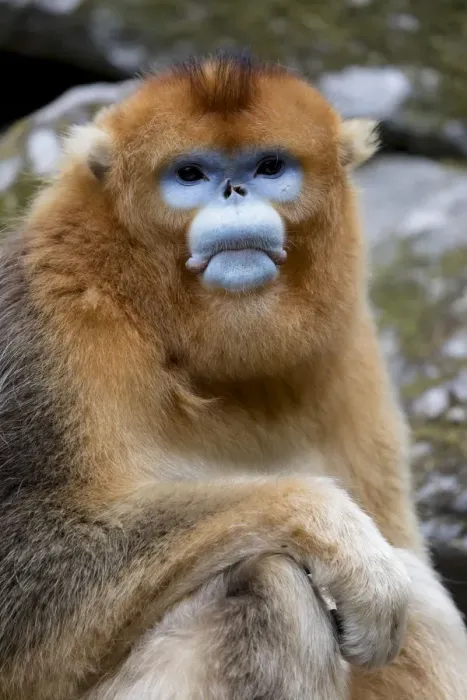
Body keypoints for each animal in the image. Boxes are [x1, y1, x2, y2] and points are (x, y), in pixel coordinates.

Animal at [0, 50, 466, 700]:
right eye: (191, 174)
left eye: (269, 167)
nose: (233, 190)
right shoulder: (49, 318)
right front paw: (335, 534)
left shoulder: (350, 349)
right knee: (274, 584)